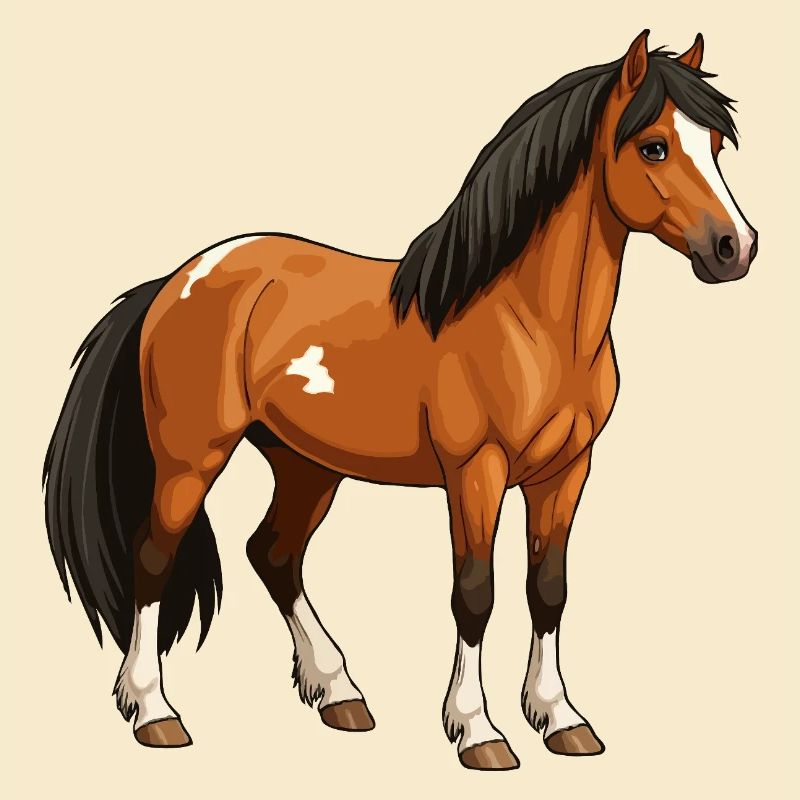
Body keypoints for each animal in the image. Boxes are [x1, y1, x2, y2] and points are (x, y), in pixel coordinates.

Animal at [43, 30, 757, 770]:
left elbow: (548, 589)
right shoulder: (476, 472)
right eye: (654, 146)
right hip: (191, 457)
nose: (735, 248)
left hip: (306, 465)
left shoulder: (567, 471)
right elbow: (475, 593)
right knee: (154, 559)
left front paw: (561, 718)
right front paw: (478, 730)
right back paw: (154, 711)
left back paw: (339, 692)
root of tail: (177, 280)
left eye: (716, 145)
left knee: (273, 554)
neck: (528, 320)